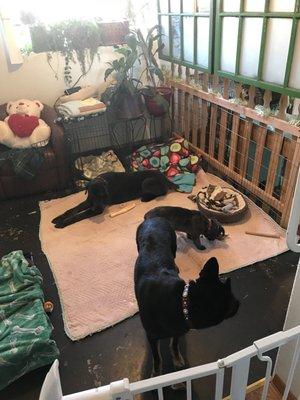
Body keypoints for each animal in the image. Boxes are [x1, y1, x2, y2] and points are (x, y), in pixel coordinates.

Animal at [135, 216, 238, 376]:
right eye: (230, 305)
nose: (239, 303)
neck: (181, 301)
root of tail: (154, 218)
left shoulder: (179, 329)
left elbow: (174, 344)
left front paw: (177, 358)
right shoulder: (152, 336)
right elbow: (157, 356)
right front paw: (157, 372)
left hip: (172, 245)